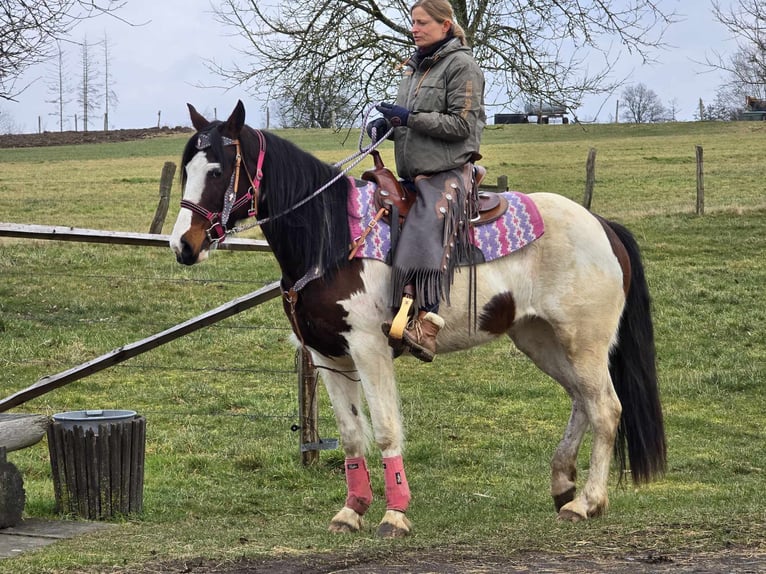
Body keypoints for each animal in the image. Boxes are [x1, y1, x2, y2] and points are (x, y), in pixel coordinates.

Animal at [168, 102, 664, 540]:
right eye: (187, 168)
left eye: (217, 171)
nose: (183, 246)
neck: (331, 239)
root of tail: (602, 225)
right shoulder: (327, 357)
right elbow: (351, 436)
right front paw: (351, 511)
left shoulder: (368, 349)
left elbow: (386, 430)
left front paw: (395, 514)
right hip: (540, 339)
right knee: (582, 400)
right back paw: (564, 485)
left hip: (584, 342)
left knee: (606, 408)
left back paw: (588, 502)